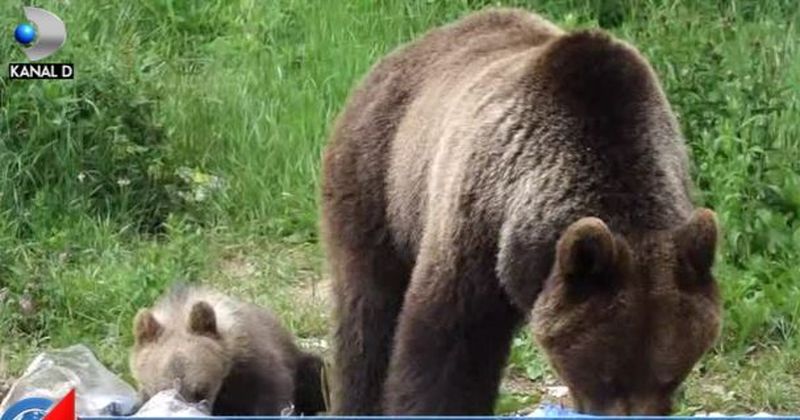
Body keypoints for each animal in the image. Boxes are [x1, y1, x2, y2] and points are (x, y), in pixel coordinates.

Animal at [320, 7, 722, 416]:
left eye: (671, 377)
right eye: (607, 376)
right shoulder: (477, 222)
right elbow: (446, 347)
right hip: (379, 177)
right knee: (368, 311)